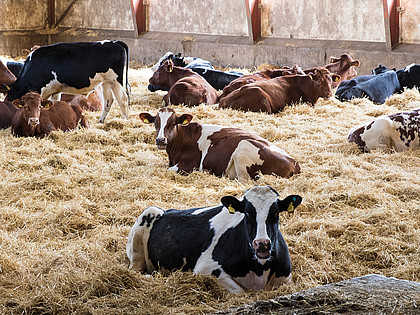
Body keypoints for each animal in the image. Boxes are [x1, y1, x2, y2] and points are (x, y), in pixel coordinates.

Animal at [126, 186, 304, 296]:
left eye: (275, 213)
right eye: (247, 213)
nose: (262, 244)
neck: (261, 270)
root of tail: (167, 210)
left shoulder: (286, 279)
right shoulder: (205, 269)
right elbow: (241, 291)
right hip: (144, 224)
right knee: (135, 269)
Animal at [139, 108, 300, 183]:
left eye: (173, 124)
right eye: (155, 123)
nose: (160, 140)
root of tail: (294, 162)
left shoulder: (189, 166)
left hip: (243, 149)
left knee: (243, 180)